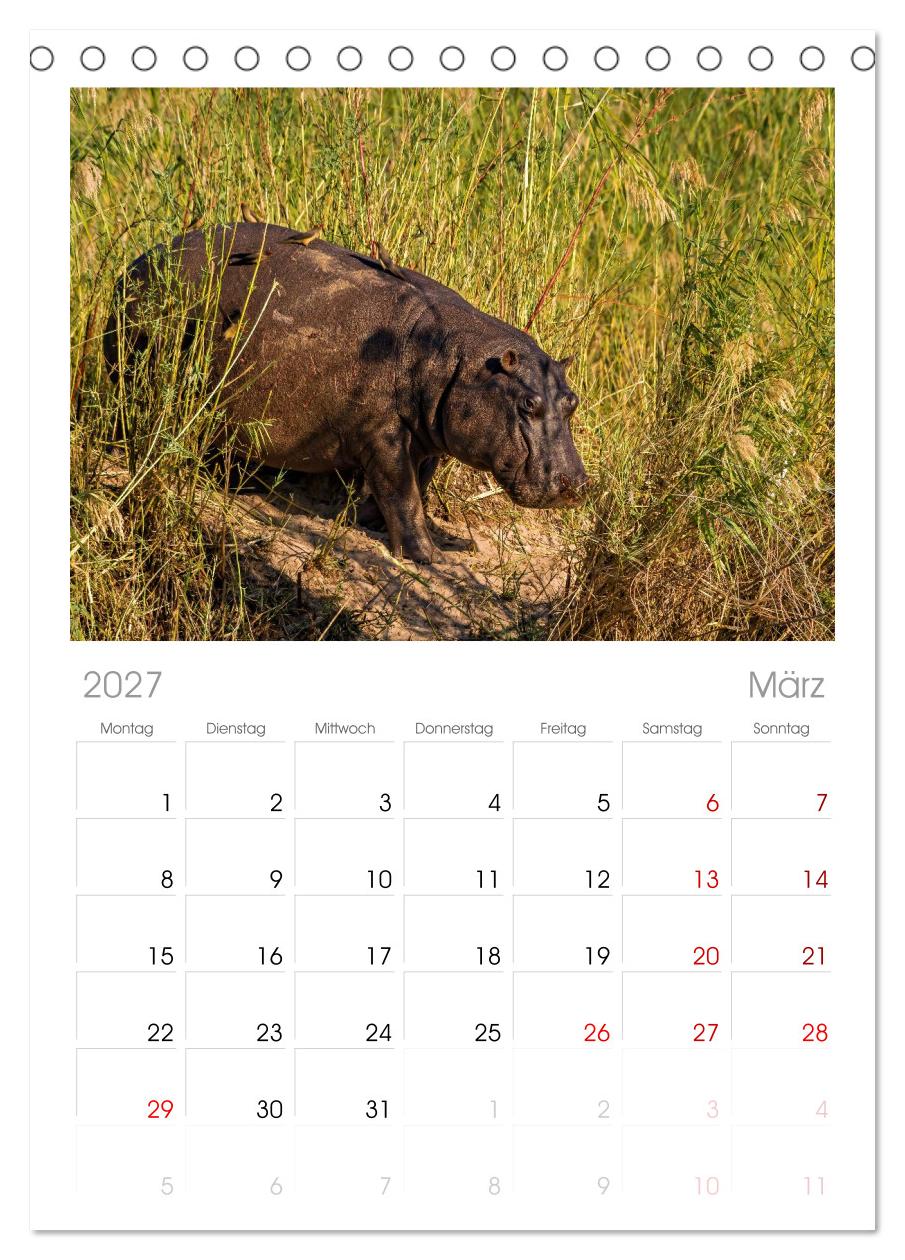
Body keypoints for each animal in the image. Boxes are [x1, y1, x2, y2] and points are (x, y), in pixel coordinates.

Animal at [105, 223, 588, 563]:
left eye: (573, 401)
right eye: (528, 404)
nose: (576, 485)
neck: (457, 358)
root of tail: (137, 263)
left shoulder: (427, 441)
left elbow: (416, 489)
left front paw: (428, 538)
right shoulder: (383, 434)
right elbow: (403, 494)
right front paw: (431, 557)